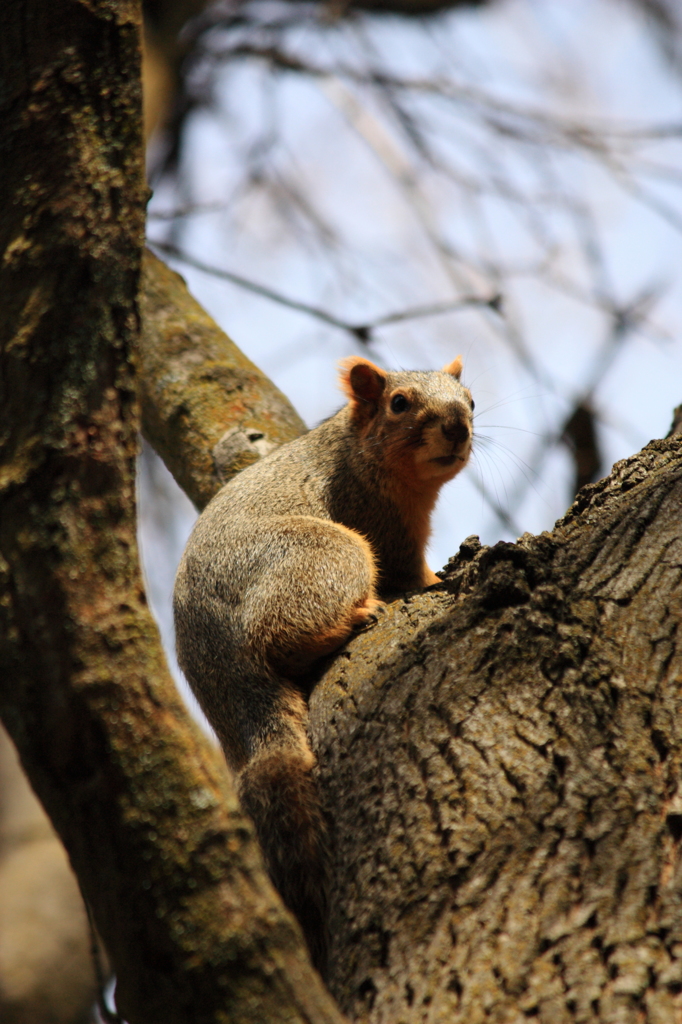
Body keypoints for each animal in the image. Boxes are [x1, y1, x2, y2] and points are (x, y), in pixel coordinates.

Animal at [173, 356, 473, 970]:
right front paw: (441, 579)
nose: (457, 425)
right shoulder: (376, 519)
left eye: (472, 400)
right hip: (326, 552)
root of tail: (220, 668)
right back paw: (355, 616)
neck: (356, 448)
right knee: (279, 634)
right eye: (399, 404)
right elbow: (411, 573)